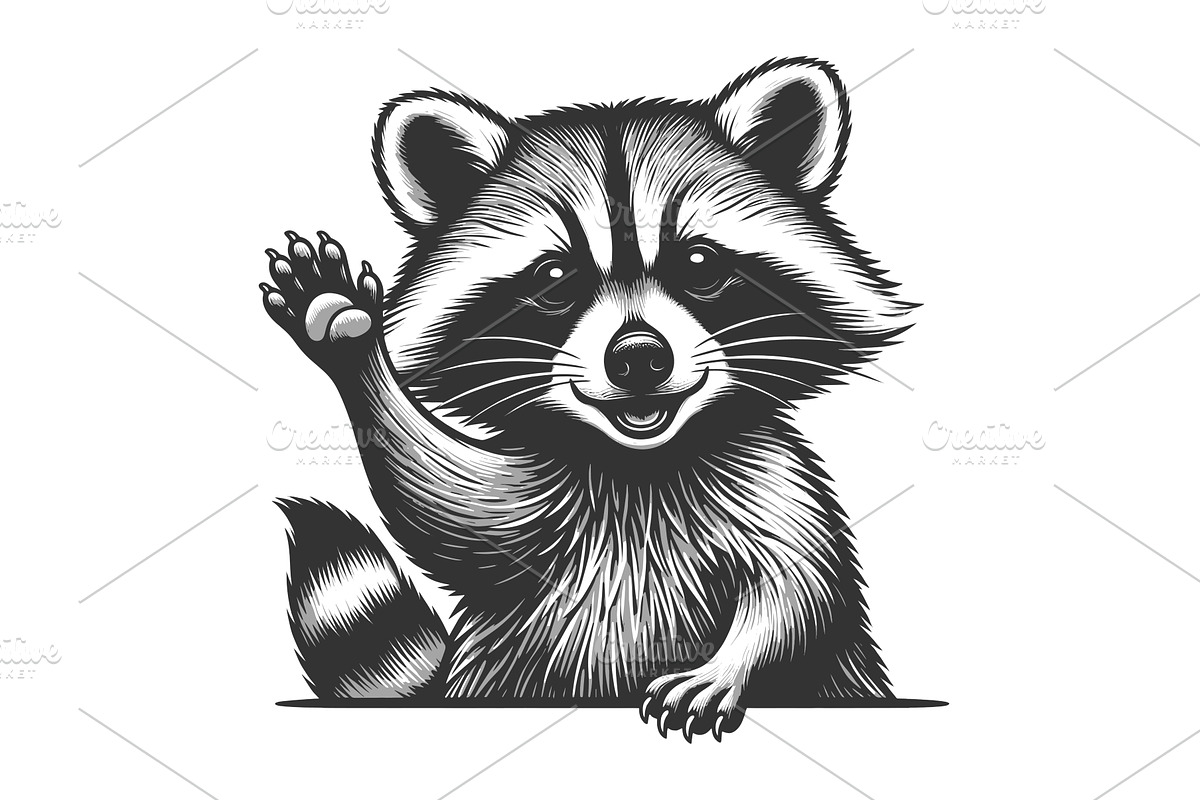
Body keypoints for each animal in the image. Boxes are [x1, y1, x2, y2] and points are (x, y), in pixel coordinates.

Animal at [260, 57, 913, 741]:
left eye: (699, 264)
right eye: (555, 278)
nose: (640, 357)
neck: (640, 462)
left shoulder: (770, 475)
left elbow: (800, 592)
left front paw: (732, 665)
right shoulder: (533, 496)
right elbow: (441, 497)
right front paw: (354, 349)